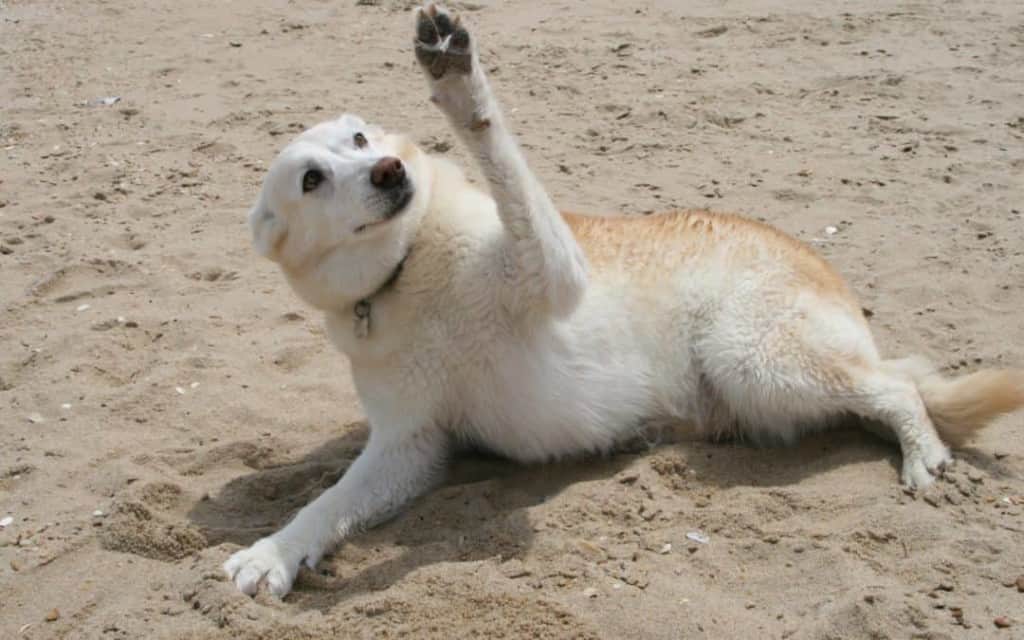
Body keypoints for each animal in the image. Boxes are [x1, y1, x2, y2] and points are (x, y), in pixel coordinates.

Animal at [224, 2, 1024, 598]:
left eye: (361, 140)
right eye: (311, 179)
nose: (390, 171)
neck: (408, 269)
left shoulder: (555, 270)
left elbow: (500, 156)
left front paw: (455, 76)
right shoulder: (407, 448)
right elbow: (326, 503)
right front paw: (274, 553)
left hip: (755, 357)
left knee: (895, 387)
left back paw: (924, 456)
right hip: (765, 388)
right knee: (877, 394)